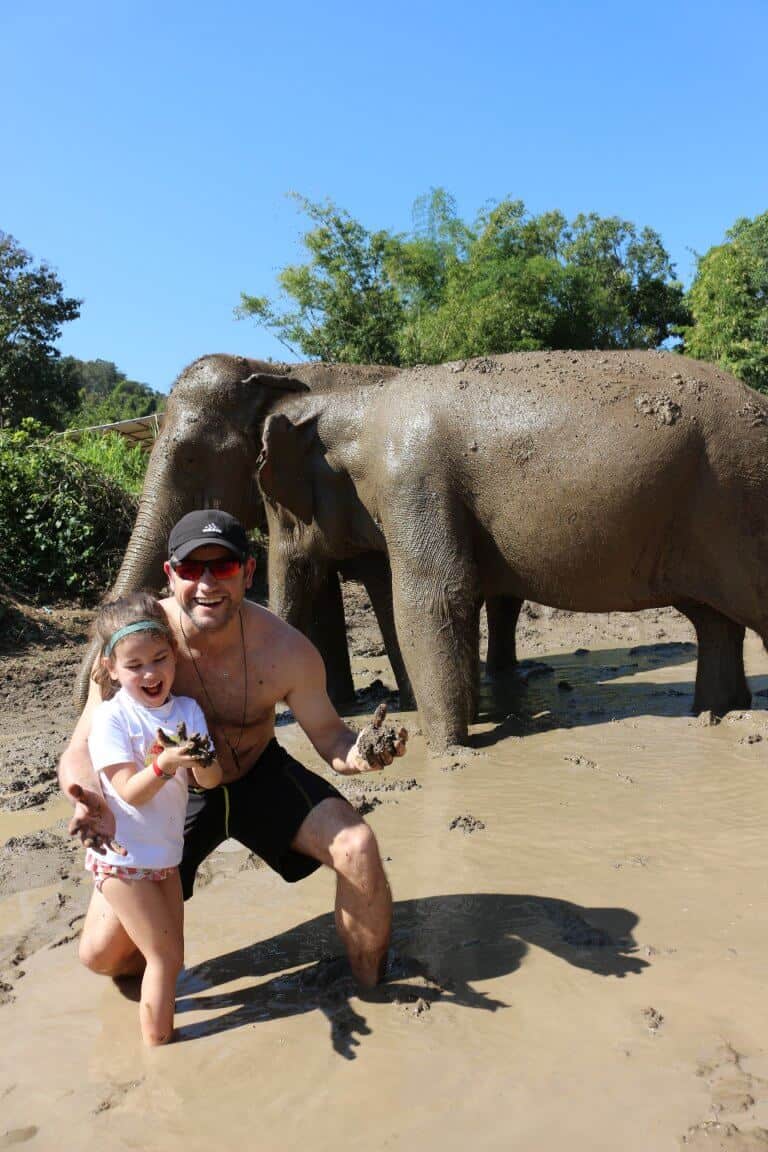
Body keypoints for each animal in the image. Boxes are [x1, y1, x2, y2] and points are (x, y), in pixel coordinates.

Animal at [255, 350, 768, 746]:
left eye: (274, 502)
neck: (357, 404)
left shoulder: (413, 480)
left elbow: (433, 598)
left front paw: (447, 752)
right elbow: (458, 599)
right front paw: (466, 726)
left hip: (736, 505)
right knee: (714, 623)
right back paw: (718, 713)